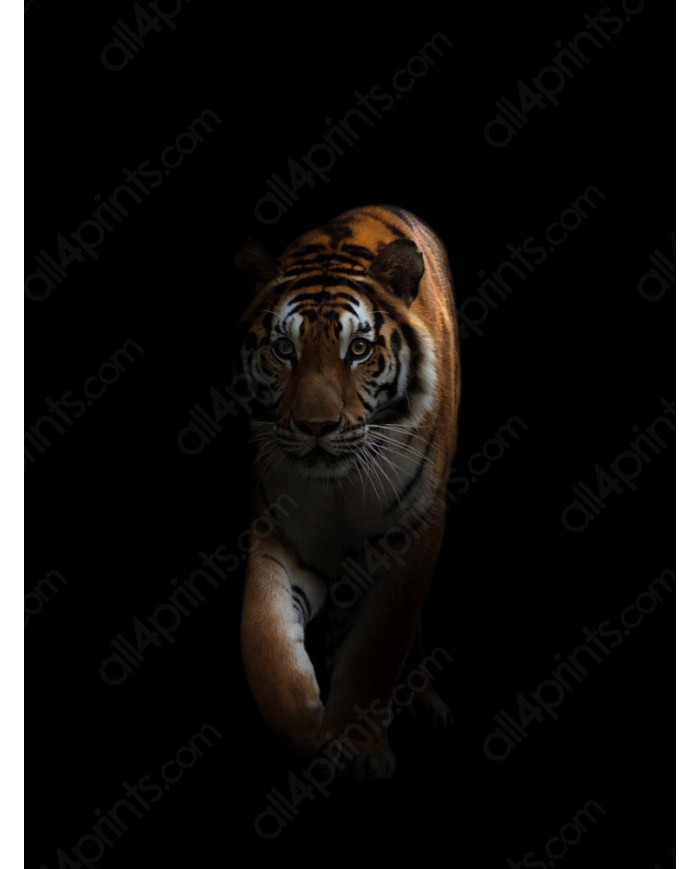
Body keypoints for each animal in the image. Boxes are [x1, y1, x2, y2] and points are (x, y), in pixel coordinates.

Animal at [234, 204, 460, 779]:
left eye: (358, 349)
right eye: (284, 349)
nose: (317, 426)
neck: (338, 486)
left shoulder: (413, 533)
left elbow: (379, 646)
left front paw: (356, 749)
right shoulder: (278, 533)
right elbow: (263, 639)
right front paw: (306, 728)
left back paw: (424, 703)